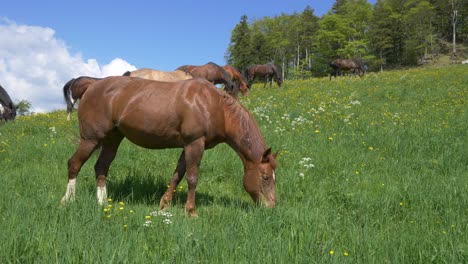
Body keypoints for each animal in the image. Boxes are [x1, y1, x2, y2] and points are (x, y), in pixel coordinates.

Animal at [59, 76, 278, 217]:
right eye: (266, 177)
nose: (272, 206)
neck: (214, 105)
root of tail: (91, 85)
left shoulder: (188, 146)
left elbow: (177, 175)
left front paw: (165, 204)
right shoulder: (195, 144)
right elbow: (192, 178)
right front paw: (191, 211)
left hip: (113, 139)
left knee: (101, 167)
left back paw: (103, 203)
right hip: (91, 139)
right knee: (74, 164)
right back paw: (67, 200)